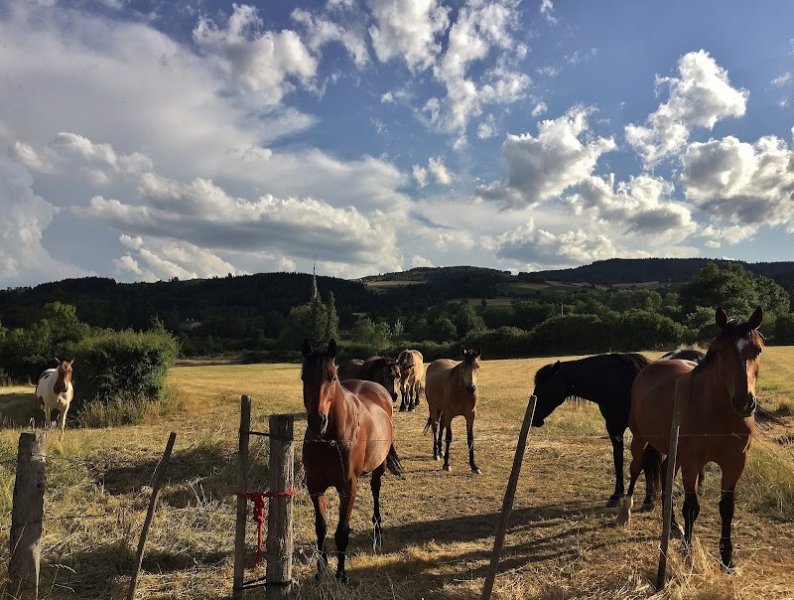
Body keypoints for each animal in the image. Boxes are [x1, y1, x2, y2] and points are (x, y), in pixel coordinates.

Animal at [300, 339, 403, 583]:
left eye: (332, 378)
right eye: (303, 377)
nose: (317, 421)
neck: (330, 440)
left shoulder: (348, 488)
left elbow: (341, 532)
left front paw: (341, 574)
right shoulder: (315, 487)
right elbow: (321, 530)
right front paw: (320, 572)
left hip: (378, 467)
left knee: (375, 490)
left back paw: (377, 532)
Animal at [531, 353, 655, 507]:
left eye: (545, 385)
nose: (534, 418)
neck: (619, 382)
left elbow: (647, 462)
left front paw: (649, 499)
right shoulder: (614, 427)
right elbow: (618, 460)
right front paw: (616, 495)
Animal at [617, 307, 764, 569]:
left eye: (757, 349)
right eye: (719, 351)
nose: (743, 402)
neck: (718, 413)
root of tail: (651, 367)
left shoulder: (735, 462)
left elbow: (727, 508)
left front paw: (727, 558)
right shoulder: (693, 462)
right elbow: (691, 506)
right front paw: (687, 551)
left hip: (674, 450)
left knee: (664, 474)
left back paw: (672, 525)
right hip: (640, 438)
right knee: (635, 469)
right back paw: (626, 511)